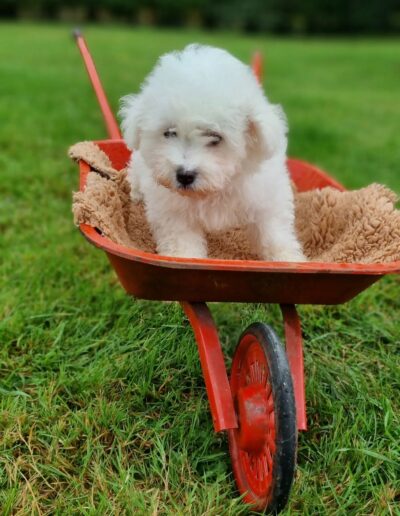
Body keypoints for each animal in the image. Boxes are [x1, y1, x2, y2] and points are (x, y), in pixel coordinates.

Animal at [119, 43, 304, 262]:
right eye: (170, 133)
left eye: (215, 137)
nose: (184, 175)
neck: (213, 190)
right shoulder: (174, 214)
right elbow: (182, 242)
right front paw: (184, 259)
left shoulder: (266, 198)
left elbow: (274, 233)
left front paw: (289, 260)